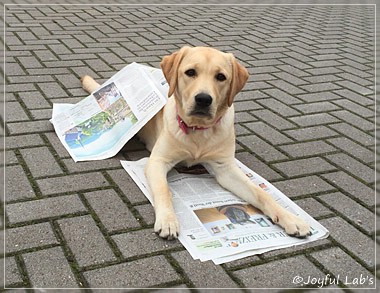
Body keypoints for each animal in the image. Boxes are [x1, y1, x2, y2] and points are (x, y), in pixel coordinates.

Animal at [81, 45, 310, 237]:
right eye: (190, 72)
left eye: (221, 77)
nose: (203, 99)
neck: (198, 131)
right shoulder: (158, 161)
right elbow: (164, 190)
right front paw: (168, 220)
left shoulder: (226, 168)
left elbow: (261, 194)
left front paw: (291, 218)